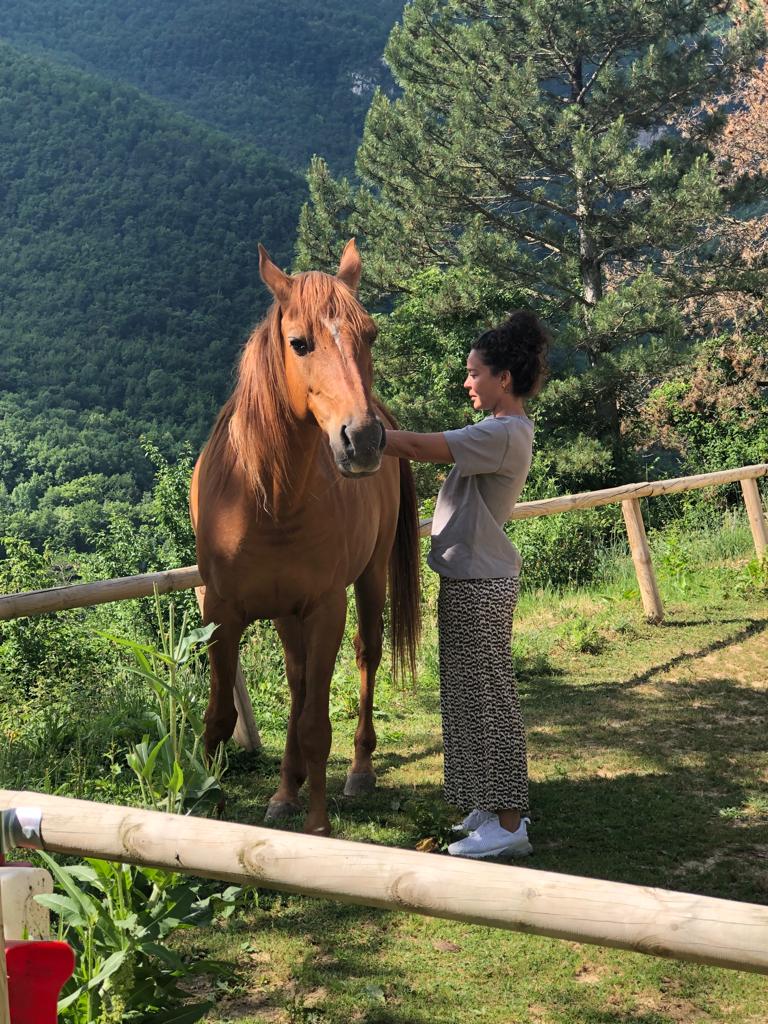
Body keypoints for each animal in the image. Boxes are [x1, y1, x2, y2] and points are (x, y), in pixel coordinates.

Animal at [189, 240, 421, 836]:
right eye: (299, 343)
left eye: (371, 335)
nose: (362, 440)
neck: (268, 497)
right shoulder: (221, 611)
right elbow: (219, 718)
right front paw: (205, 815)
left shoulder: (323, 608)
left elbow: (317, 725)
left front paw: (317, 830)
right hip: (285, 614)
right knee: (297, 682)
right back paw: (283, 793)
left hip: (369, 578)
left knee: (366, 654)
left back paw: (357, 771)